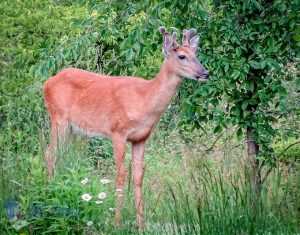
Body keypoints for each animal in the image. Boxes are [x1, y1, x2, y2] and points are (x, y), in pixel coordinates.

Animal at [42, 26, 209, 231]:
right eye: (182, 56)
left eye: (196, 54)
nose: (205, 73)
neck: (145, 100)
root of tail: (47, 83)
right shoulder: (118, 132)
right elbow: (121, 174)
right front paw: (117, 223)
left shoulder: (141, 138)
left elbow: (138, 176)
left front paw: (141, 226)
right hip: (58, 119)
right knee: (50, 153)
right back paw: (48, 194)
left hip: (73, 129)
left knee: (60, 156)